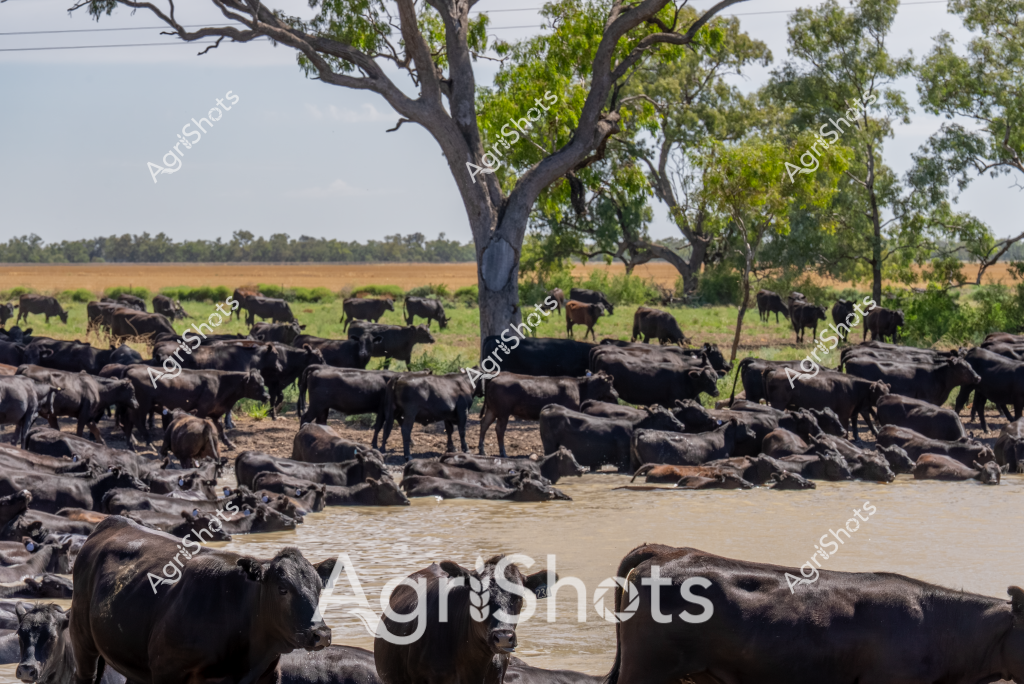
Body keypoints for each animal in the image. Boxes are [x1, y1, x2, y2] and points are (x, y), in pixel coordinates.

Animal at [70, 516, 335, 683]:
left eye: (319, 588)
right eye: (282, 589)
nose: (321, 634)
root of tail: (114, 522)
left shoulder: (268, 676)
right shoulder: (167, 671)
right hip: (83, 642)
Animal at [478, 371, 619, 457]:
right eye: (610, 384)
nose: (617, 394)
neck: (581, 389)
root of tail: (497, 375)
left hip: (492, 410)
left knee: (484, 424)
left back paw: (482, 450)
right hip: (503, 412)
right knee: (499, 429)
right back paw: (503, 453)